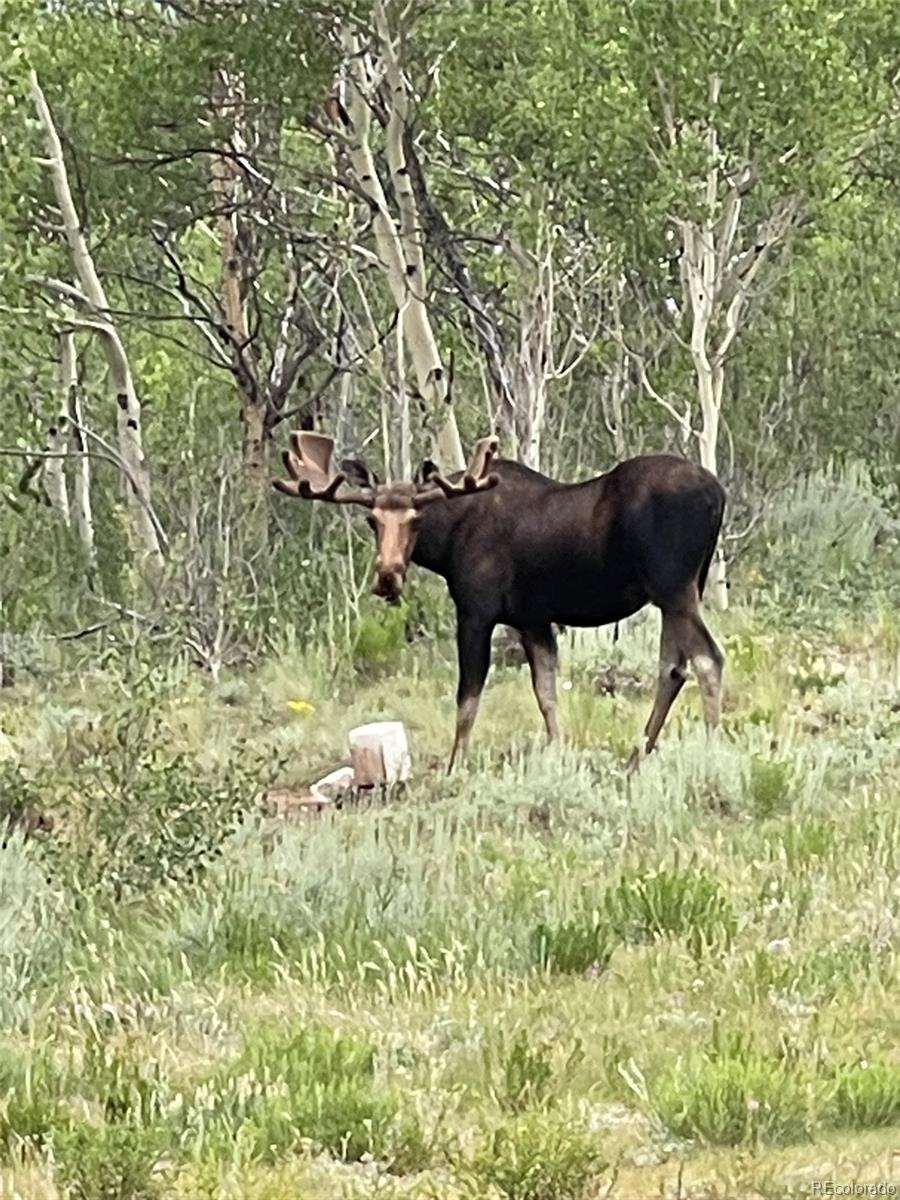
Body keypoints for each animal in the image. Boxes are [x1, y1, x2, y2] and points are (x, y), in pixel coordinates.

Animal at [273, 432, 724, 768]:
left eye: (416, 519)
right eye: (372, 519)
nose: (388, 576)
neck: (446, 542)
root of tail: (717, 494)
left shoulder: (477, 611)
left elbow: (467, 698)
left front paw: (455, 766)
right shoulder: (532, 619)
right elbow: (546, 693)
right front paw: (557, 754)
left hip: (673, 587)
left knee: (708, 660)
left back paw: (710, 752)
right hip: (682, 590)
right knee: (672, 668)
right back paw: (638, 754)